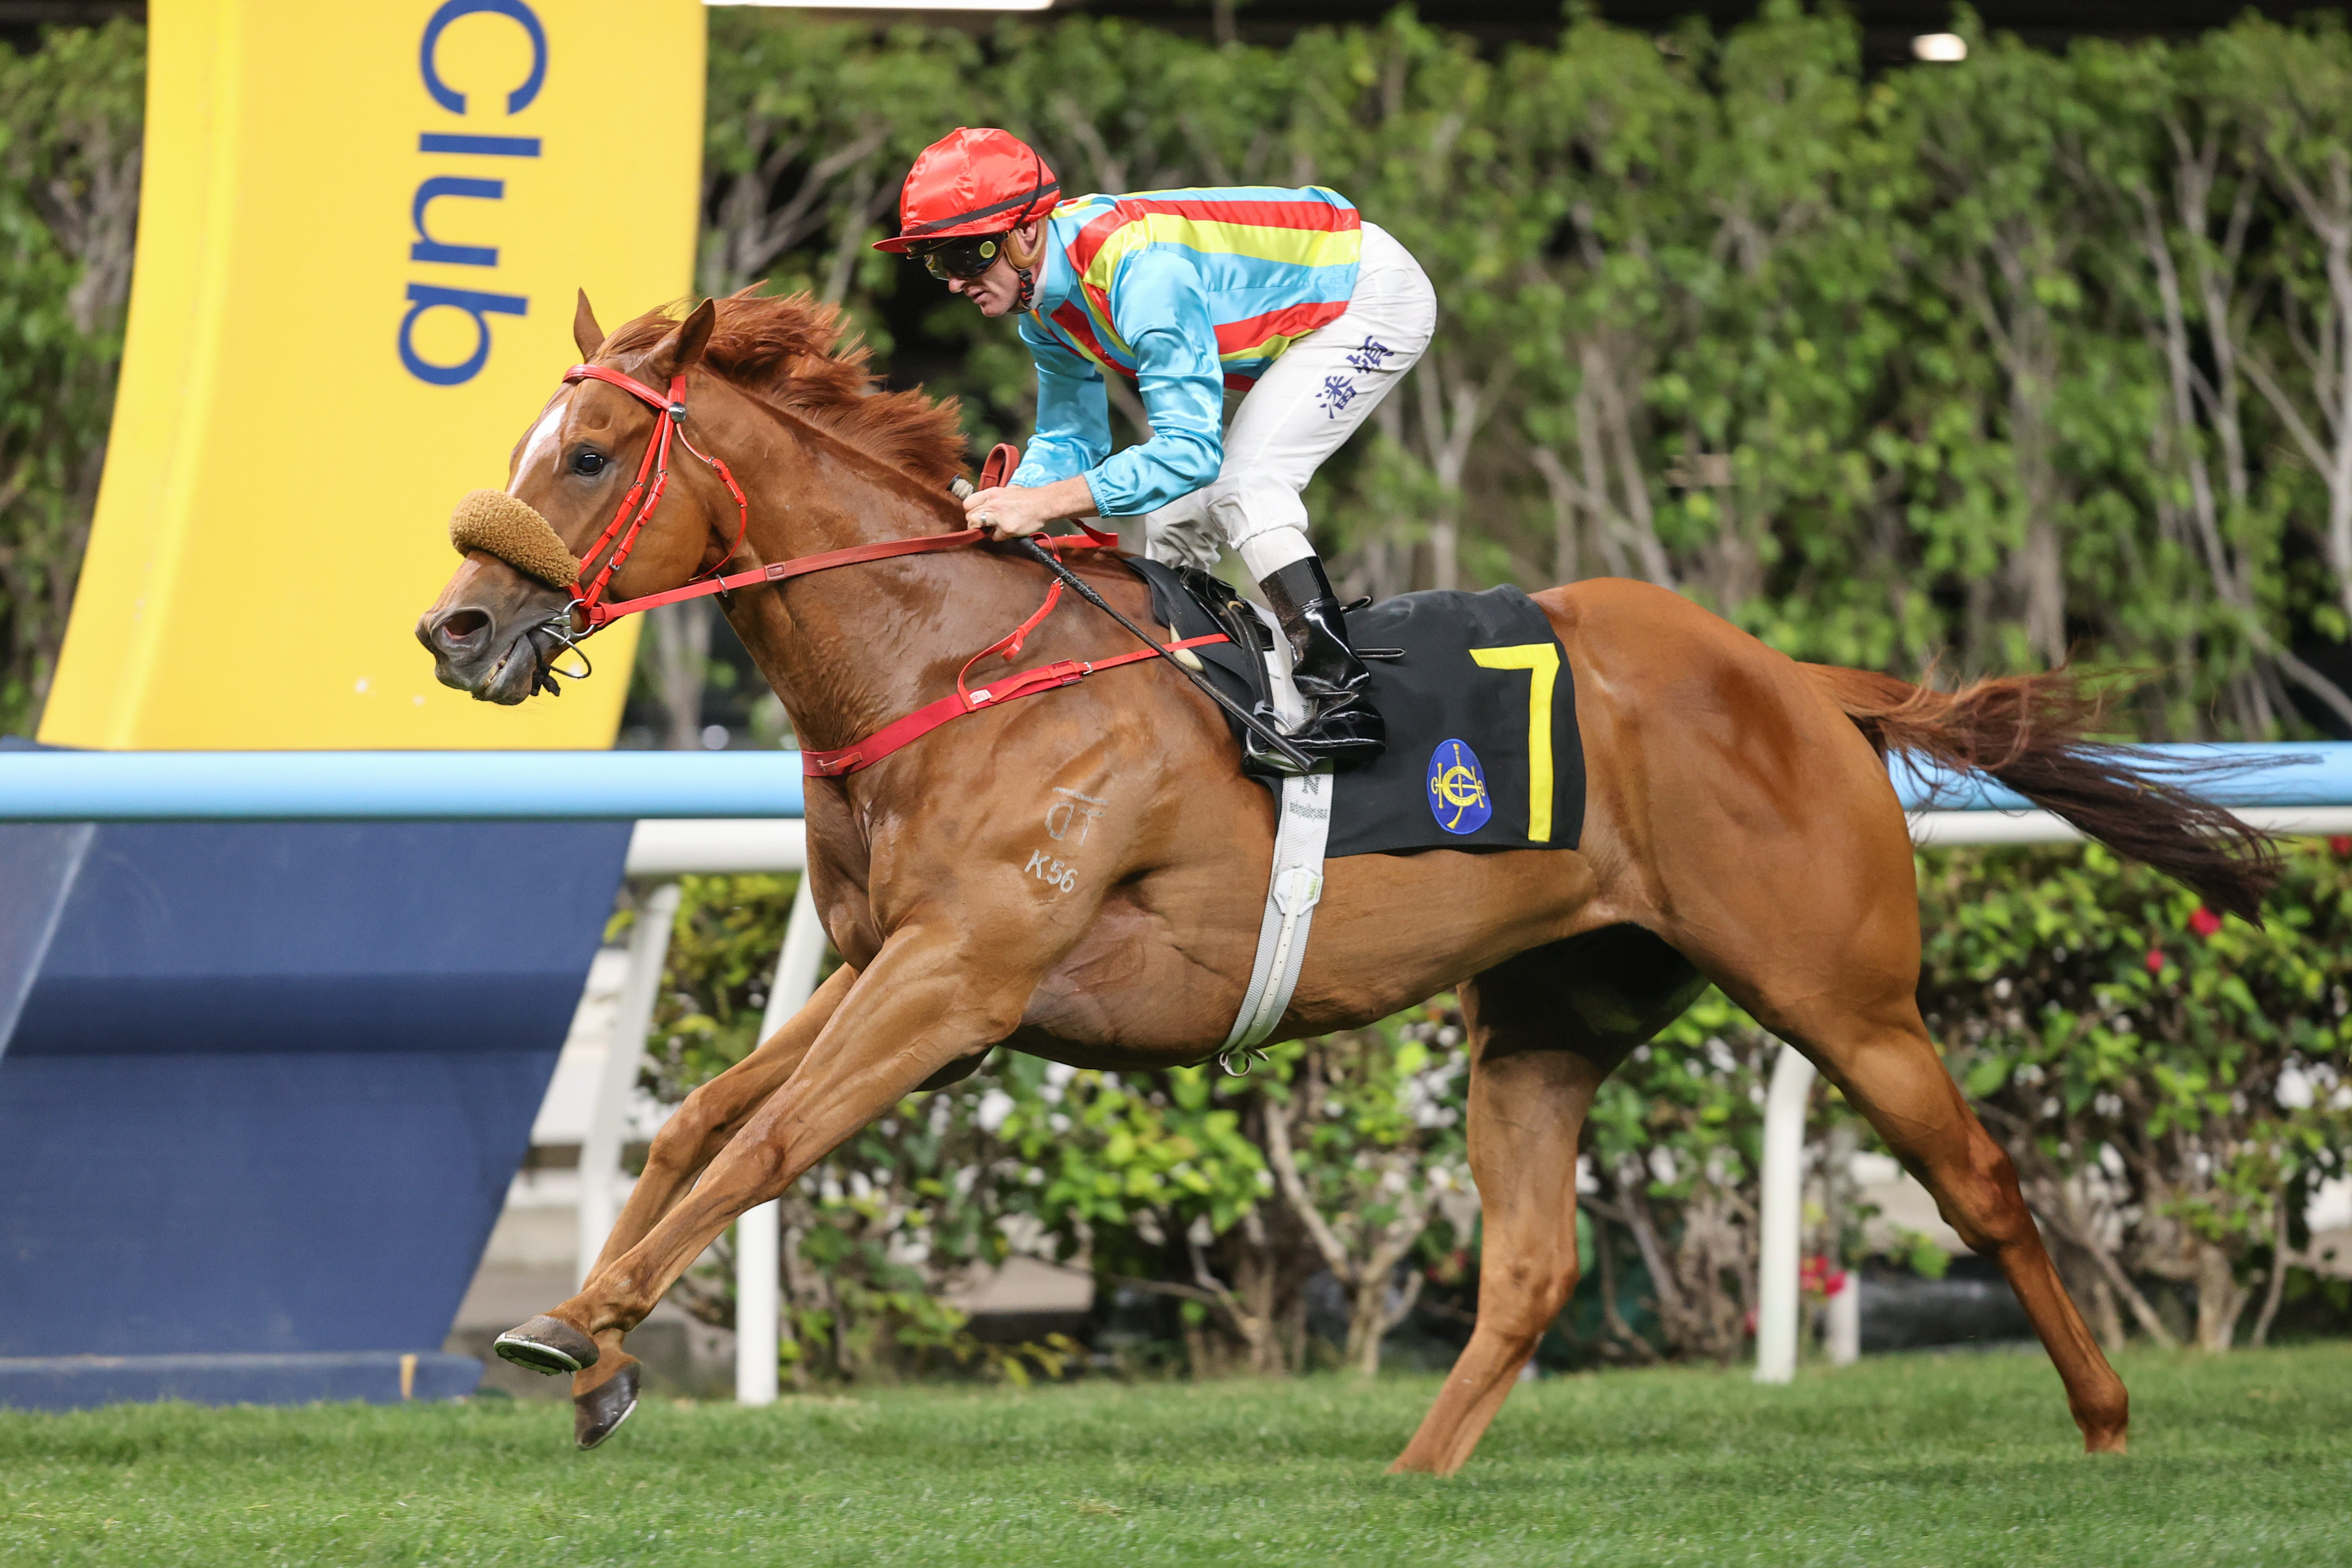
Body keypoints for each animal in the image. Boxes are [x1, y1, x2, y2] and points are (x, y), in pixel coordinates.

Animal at [418, 290, 2273, 1466]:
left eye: (587, 453)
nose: (457, 626)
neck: (953, 657)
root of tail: (1804, 684)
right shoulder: (896, 959)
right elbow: (697, 1119)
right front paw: (597, 1351)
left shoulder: (965, 974)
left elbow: (772, 1141)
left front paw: (575, 1322)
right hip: (1544, 1013)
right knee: (1528, 1269)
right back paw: (1409, 1479)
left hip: (1839, 987)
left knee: (1983, 1181)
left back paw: (2105, 1420)